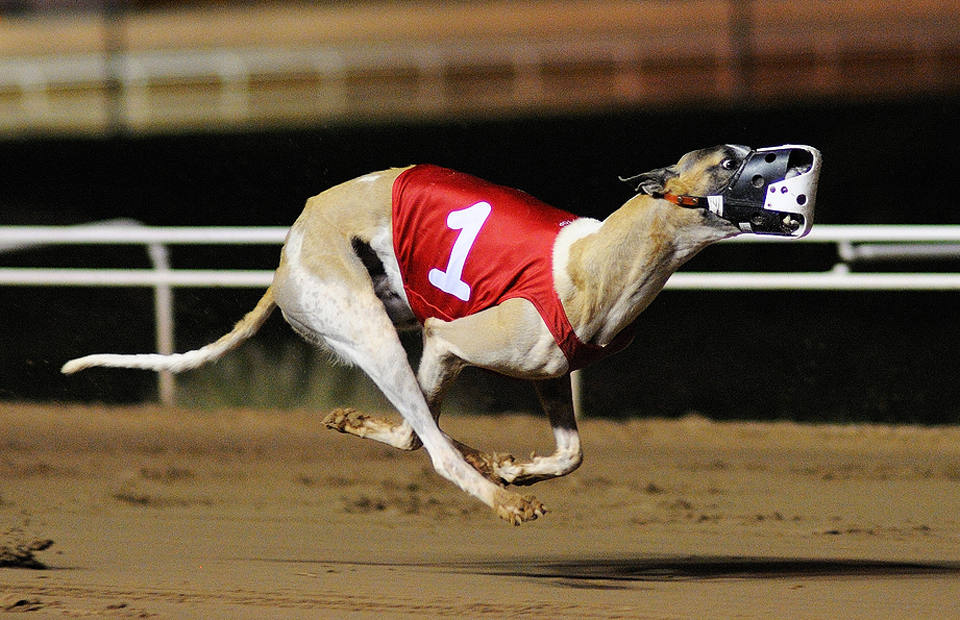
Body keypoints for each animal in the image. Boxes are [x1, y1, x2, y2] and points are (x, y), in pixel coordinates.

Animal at [63, 144, 820, 524]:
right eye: (729, 160)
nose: (799, 171)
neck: (597, 261)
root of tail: (283, 259)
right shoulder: (451, 340)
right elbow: (427, 434)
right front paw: (507, 481)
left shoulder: (550, 374)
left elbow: (571, 454)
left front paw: (515, 465)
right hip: (371, 328)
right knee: (422, 442)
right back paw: (497, 495)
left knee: (416, 430)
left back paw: (478, 459)